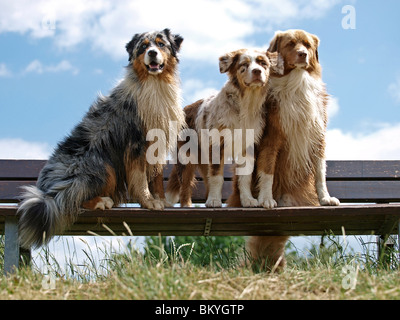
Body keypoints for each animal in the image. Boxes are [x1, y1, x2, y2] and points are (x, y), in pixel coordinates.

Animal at [166, 47, 278, 208]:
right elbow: (217, 177)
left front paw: (247, 200)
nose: (257, 71)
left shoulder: (248, 146)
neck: (246, 104)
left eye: (263, 63)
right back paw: (188, 205)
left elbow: (245, 176)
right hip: (186, 156)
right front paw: (214, 201)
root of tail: (184, 110)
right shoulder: (217, 145)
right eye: (244, 64)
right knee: (185, 185)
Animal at [227, 29, 340, 270]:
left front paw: (326, 199)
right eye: (290, 44)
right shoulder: (272, 139)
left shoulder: (318, 138)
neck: (297, 82)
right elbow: (267, 172)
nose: (302, 54)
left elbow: (320, 173)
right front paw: (266, 199)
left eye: (307, 45)